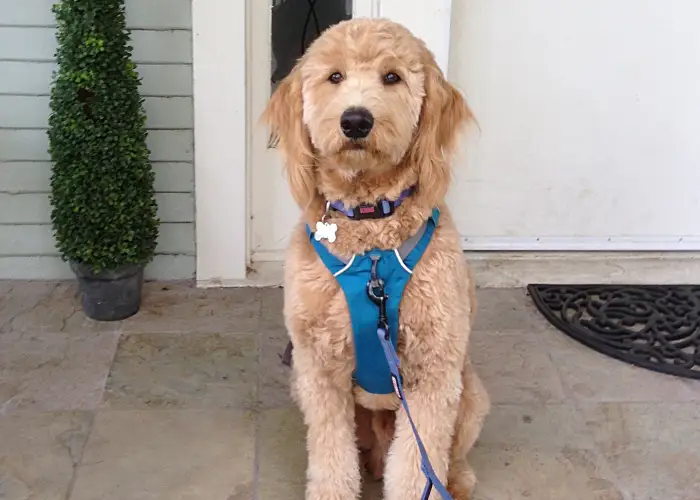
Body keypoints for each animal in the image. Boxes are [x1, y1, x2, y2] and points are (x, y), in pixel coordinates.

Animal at [264, 17, 492, 498]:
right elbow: (332, 457)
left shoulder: (434, 370)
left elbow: (415, 469)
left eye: (392, 77)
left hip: (470, 393)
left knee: (449, 455)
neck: (370, 231)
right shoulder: (318, 370)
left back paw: (457, 479)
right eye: (334, 76)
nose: (355, 120)